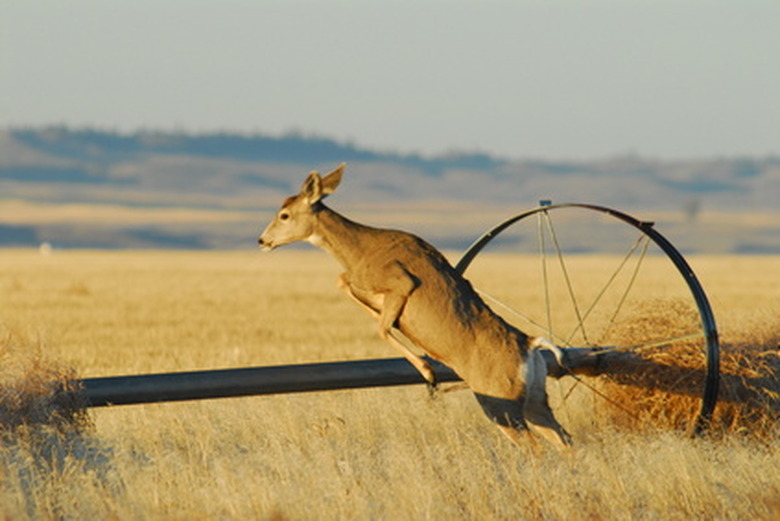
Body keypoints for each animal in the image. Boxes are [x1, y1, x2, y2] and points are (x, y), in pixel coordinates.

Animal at [258, 164, 568, 446]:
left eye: (284, 214)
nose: (263, 240)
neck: (361, 249)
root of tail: (530, 345)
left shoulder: (401, 282)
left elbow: (380, 326)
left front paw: (427, 370)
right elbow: (344, 282)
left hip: (500, 403)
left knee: (535, 446)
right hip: (536, 401)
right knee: (565, 439)